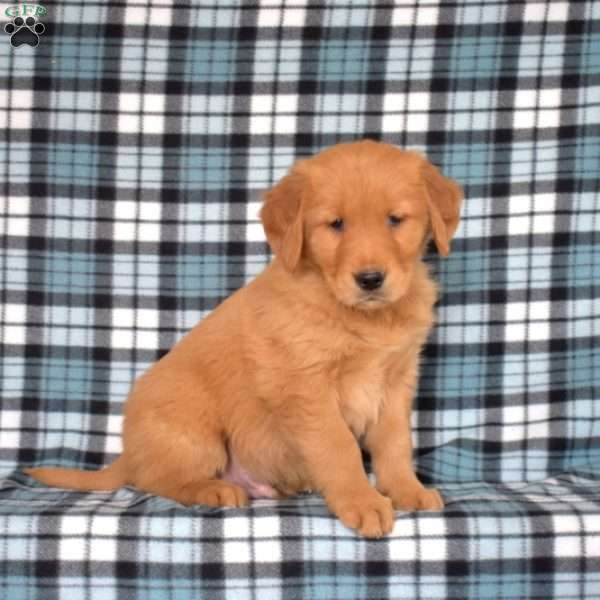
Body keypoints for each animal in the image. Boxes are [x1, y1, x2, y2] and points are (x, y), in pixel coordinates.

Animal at [24, 141, 464, 540]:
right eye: (336, 224)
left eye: (395, 219)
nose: (370, 279)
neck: (362, 316)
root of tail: (129, 452)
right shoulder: (306, 388)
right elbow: (339, 448)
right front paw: (362, 501)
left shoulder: (395, 380)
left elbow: (395, 443)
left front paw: (407, 489)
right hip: (193, 429)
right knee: (154, 479)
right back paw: (213, 489)